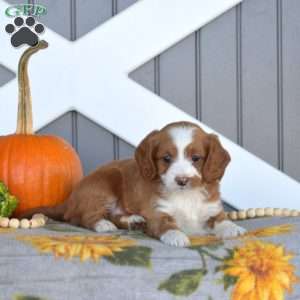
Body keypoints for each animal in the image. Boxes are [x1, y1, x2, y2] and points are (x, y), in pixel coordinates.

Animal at [22, 120, 245, 247]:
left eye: (196, 158)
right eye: (166, 158)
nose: (181, 180)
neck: (185, 196)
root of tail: (69, 199)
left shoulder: (212, 209)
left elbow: (221, 220)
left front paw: (233, 228)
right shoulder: (157, 212)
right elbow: (166, 224)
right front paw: (176, 236)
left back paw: (133, 220)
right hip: (106, 181)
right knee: (81, 216)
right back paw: (103, 224)